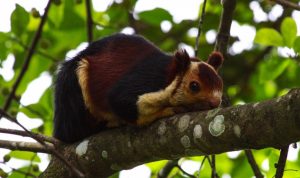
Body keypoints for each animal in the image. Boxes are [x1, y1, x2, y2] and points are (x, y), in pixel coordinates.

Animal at [53, 33, 223, 143]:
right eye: (194, 86)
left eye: (220, 84)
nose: (216, 102)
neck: (170, 76)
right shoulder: (147, 78)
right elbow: (121, 101)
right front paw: (166, 111)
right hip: (72, 87)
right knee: (72, 133)